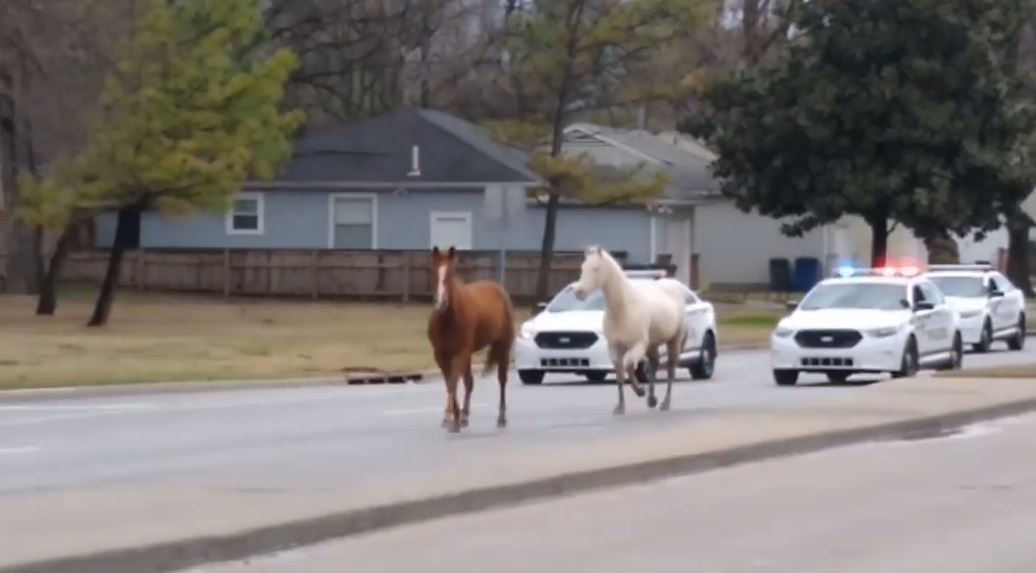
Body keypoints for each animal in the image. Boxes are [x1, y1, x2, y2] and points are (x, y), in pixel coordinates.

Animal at [424, 243, 513, 431]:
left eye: (450, 273)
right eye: (434, 271)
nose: (441, 303)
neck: (448, 319)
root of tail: (499, 289)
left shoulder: (460, 353)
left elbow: (452, 383)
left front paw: (448, 418)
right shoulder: (441, 356)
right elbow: (450, 382)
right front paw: (456, 418)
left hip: (503, 348)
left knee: (502, 380)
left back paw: (501, 418)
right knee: (469, 382)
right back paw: (464, 416)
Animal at [576, 244, 687, 410]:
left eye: (595, 268)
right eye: (583, 267)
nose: (579, 292)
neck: (624, 309)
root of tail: (675, 285)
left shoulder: (637, 345)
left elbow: (629, 366)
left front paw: (640, 391)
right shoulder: (614, 348)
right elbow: (620, 375)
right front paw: (620, 407)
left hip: (674, 340)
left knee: (670, 370)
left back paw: (665, 403)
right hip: (652, 344)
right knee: (654, 364)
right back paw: (652, 399)